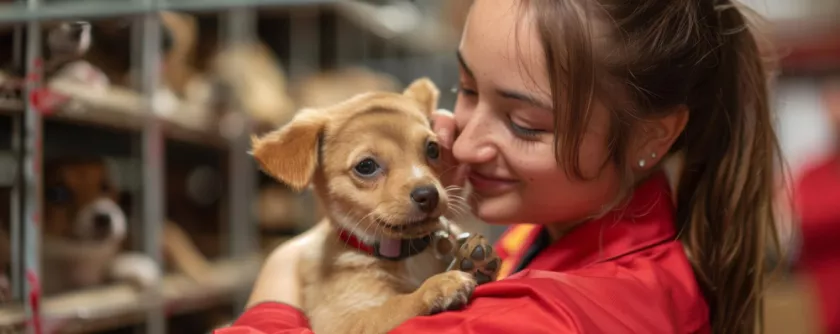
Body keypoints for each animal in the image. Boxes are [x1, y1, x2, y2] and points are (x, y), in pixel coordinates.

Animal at [249, 78, 498, 334]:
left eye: (433, 149)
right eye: (366, 166)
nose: (428, 195)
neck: (407, 256)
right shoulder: (342, 321)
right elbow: (394, 306)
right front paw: (437, 285)